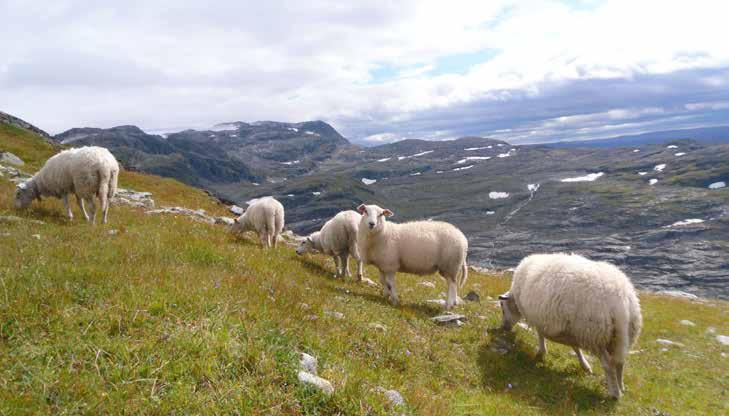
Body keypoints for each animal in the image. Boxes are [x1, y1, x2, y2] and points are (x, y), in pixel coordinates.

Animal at [498, 252, 640, 398]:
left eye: (502, 306)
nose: (504, 328)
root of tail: (620, 301)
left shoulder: (541, 320)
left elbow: (540, 335)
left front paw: (541, 352)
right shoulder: (571, 330)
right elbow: (575, 348)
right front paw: (585, 365)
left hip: (595, 335)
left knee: (609, 365)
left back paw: (615, 393)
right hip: (623, 335)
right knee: (620, 362)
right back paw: (621, 386)